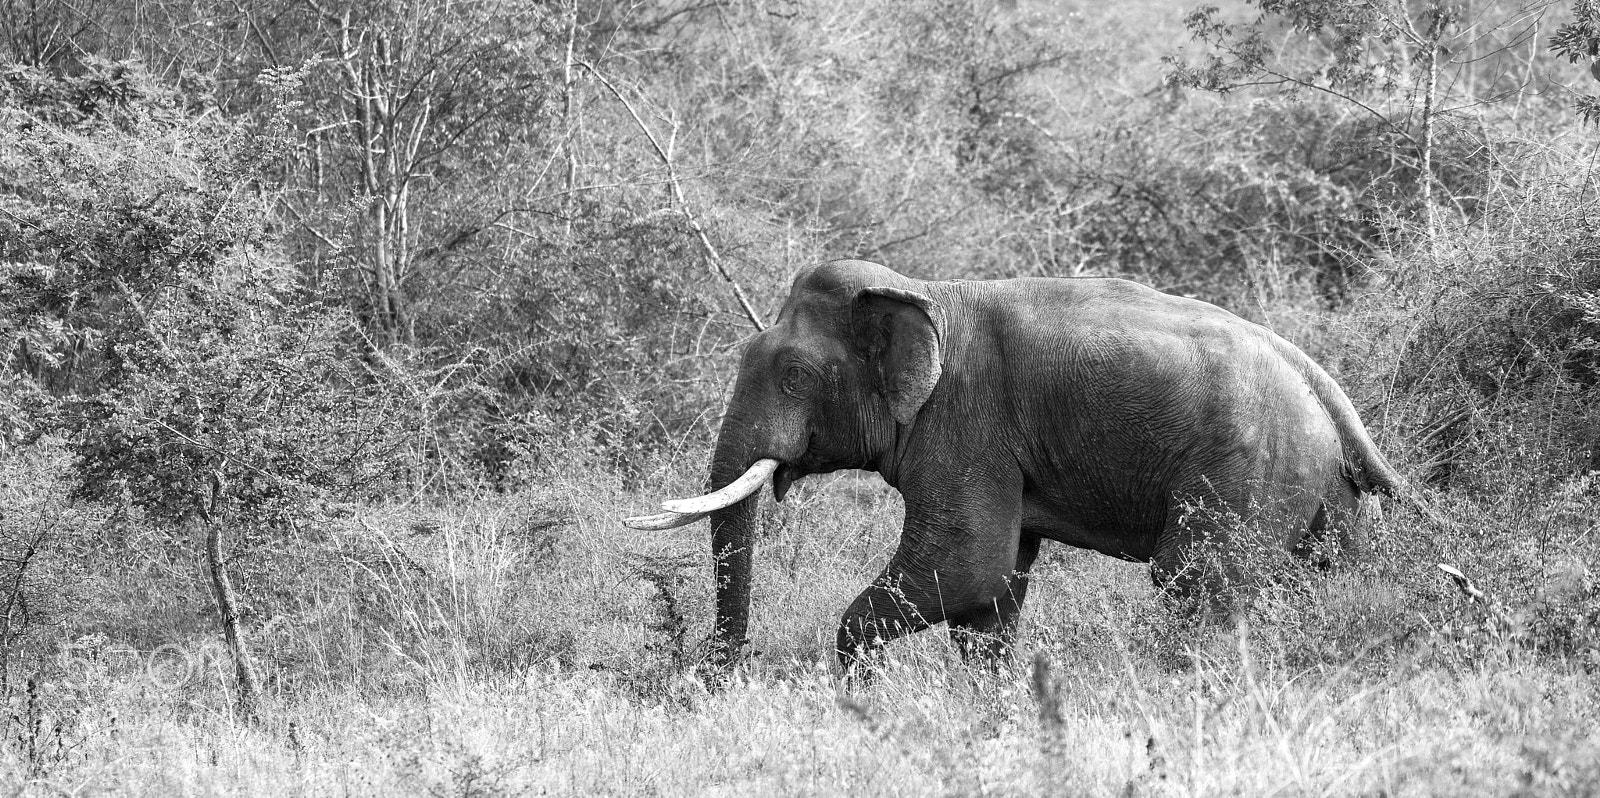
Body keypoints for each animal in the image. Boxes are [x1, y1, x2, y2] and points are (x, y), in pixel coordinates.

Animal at [625, 259, 1399, 671]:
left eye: (792, 375)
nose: (716, 674)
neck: (922, 291)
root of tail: (1325, 389)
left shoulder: (965, 423)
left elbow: (964, 566)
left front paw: (856, 691)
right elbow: (993, 590)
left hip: (1245, 470)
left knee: (1194, 580)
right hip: (1321, 490)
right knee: (1313, 577)